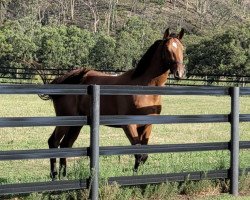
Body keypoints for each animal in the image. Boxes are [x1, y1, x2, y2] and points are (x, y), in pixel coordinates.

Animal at [45, 27, 186, 180]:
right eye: (167, 49)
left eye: (182, 49)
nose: (179, 73)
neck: (142, 87)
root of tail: (65, 79)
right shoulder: (129, 125)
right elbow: (139, 154)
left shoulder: (147, 125)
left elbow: (143, 156)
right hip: (64, 121)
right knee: (54, 142)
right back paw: (54, 176)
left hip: (76, 124)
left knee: (66, 144)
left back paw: (64, 176)